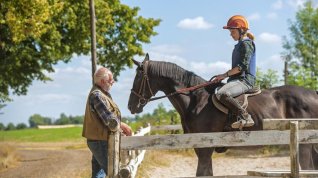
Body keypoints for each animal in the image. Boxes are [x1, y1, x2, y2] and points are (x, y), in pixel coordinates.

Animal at [126, 54, 318, 175]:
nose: (130, 106)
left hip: (304, 144)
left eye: (138, 78)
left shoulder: (205, 147)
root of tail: (313, 93)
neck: (196, 100)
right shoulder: (200, 147)